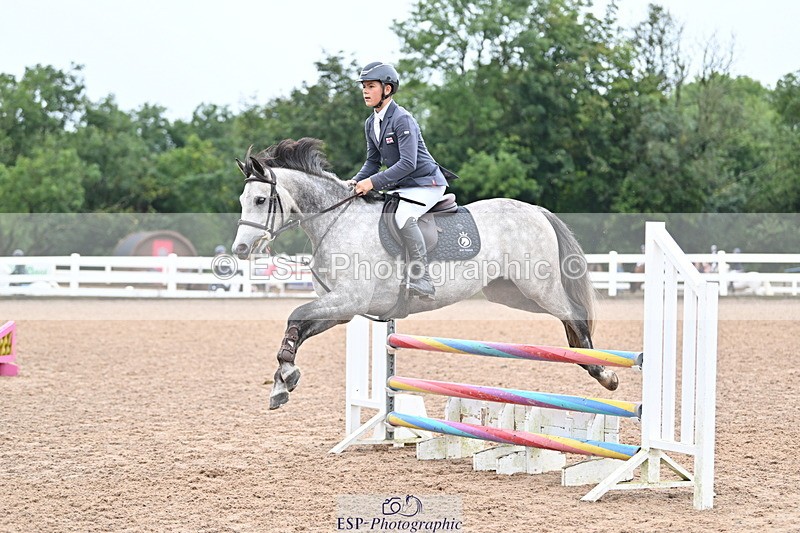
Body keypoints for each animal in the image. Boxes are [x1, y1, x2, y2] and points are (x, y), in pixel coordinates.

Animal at [232, 138, 619, 410]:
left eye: (261, 201)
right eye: (242, 201)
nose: (241, 249)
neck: (336, 221)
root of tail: (536, 210)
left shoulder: (347, 299)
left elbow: (295, 315)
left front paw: (286, 376)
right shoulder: (342, 308)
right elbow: (297, 325)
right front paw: (282, 382)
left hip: (539, 286)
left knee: (575, 316)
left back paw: (605, 373)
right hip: (511, 293)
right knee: (568, 322)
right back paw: (587, 362)